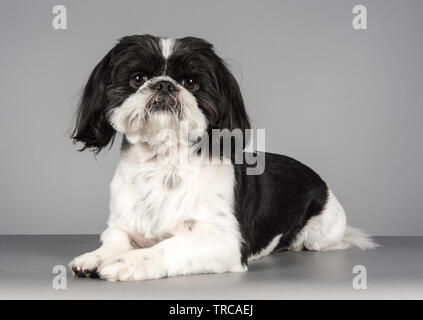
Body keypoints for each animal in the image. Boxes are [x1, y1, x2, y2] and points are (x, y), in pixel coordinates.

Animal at [69, 33, 378, 282]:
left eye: (190, 82)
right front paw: (94, 256)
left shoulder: (224, 242)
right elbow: (113, 243)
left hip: (323, 231)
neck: (163, 163)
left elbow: (167, 247)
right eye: (137, 79)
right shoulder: (121, 227)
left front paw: (126, 262)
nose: (164, 85)